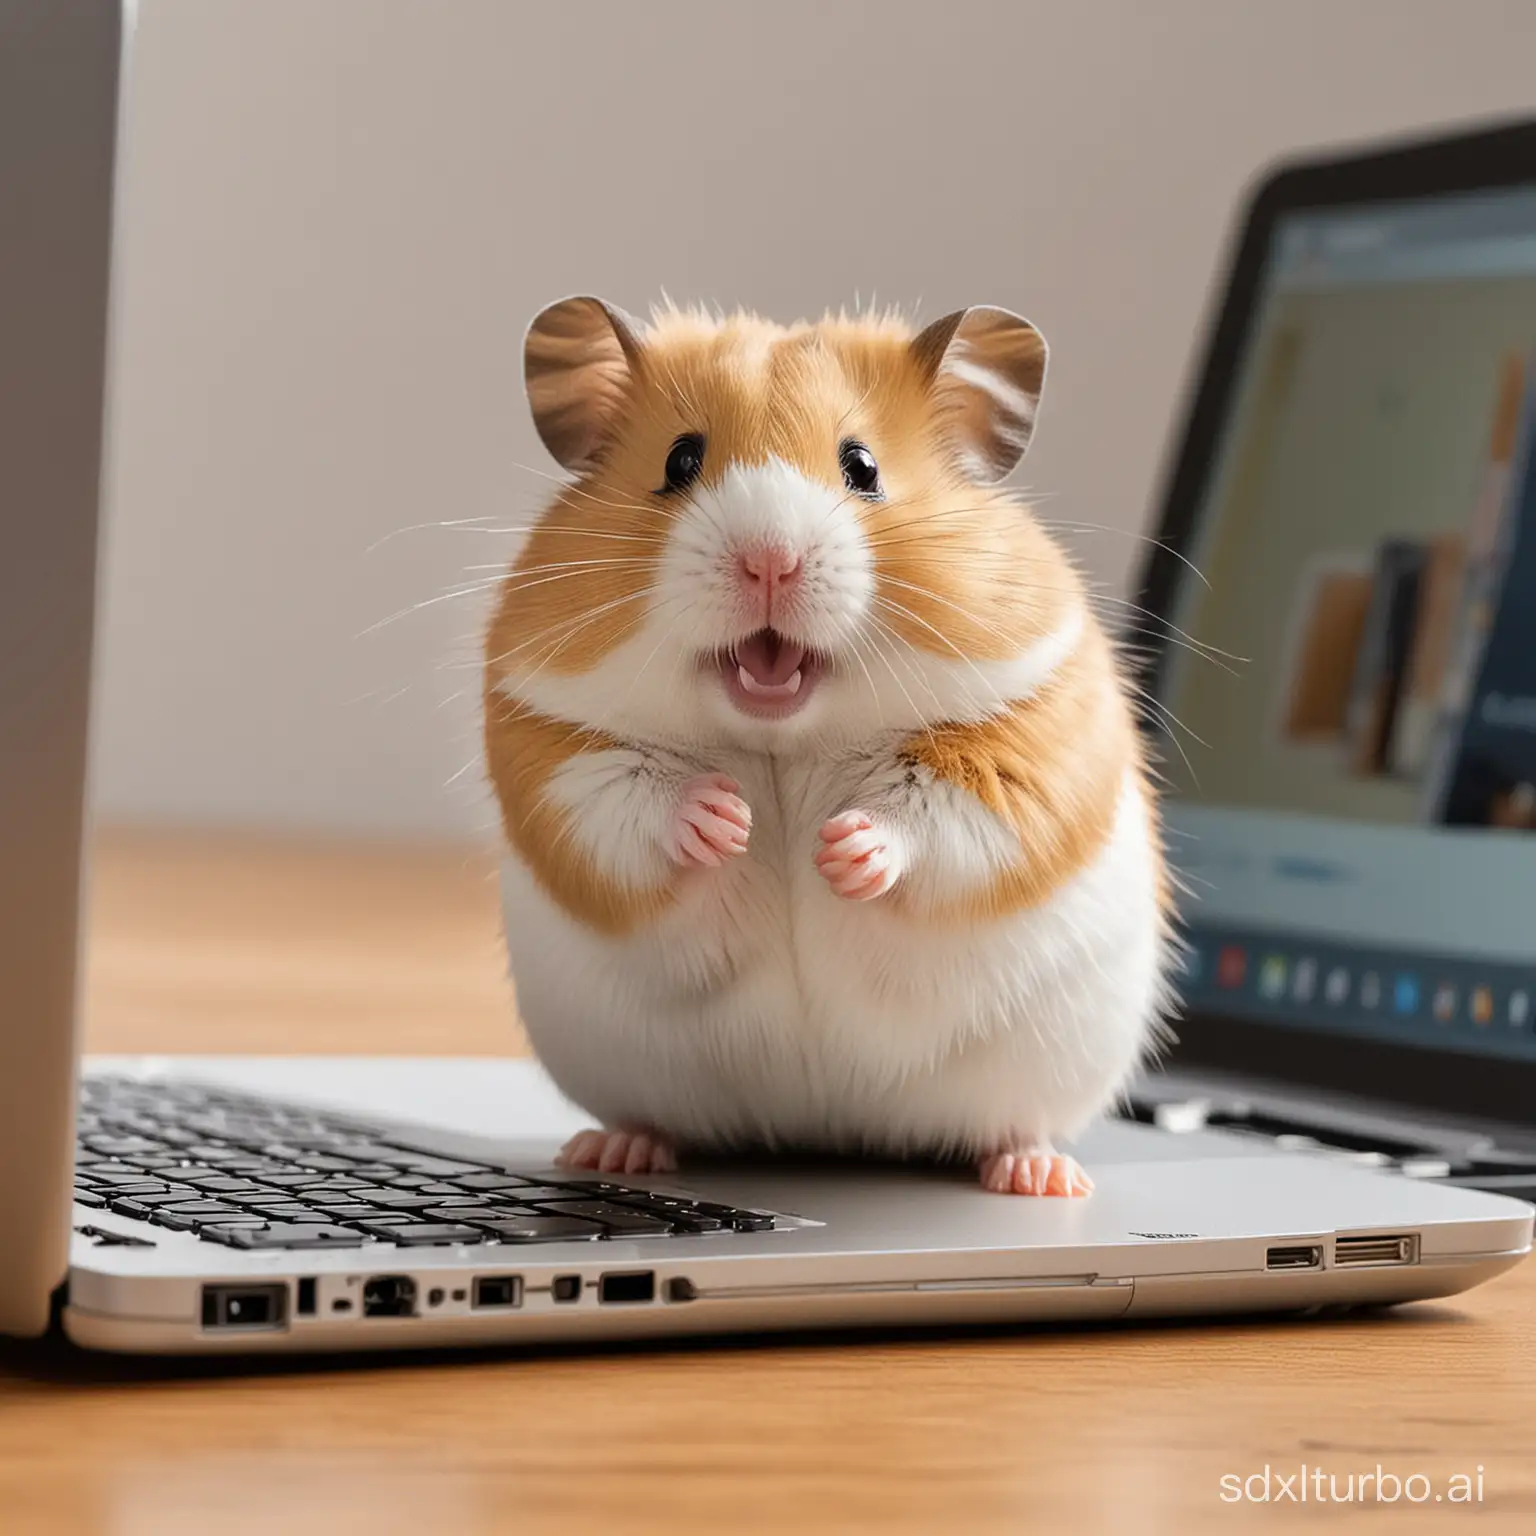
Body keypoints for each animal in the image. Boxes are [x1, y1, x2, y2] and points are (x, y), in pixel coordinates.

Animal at [485, 293, 1167, 1191]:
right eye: (680, 460)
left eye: (863, 467)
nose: (769, 562)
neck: (784, 739)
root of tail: (825, 1133)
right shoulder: (552, 748)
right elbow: (628, 803)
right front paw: (725, 821)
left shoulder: (1027, 741)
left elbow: (939, 818)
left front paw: (840, 849)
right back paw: (614, 1151)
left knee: (1019, 1127)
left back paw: (1038, 1176)